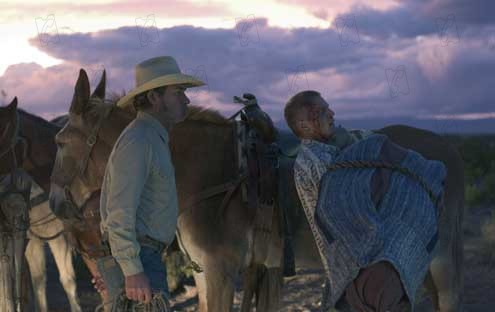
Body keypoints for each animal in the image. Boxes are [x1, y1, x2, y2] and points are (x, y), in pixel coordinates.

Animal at [50, 70, 464, 312]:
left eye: (59, 141)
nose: (55, 204)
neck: (206, 175)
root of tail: (445, 147)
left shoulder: (220, 272)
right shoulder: (205, 275)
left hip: (439, 258)